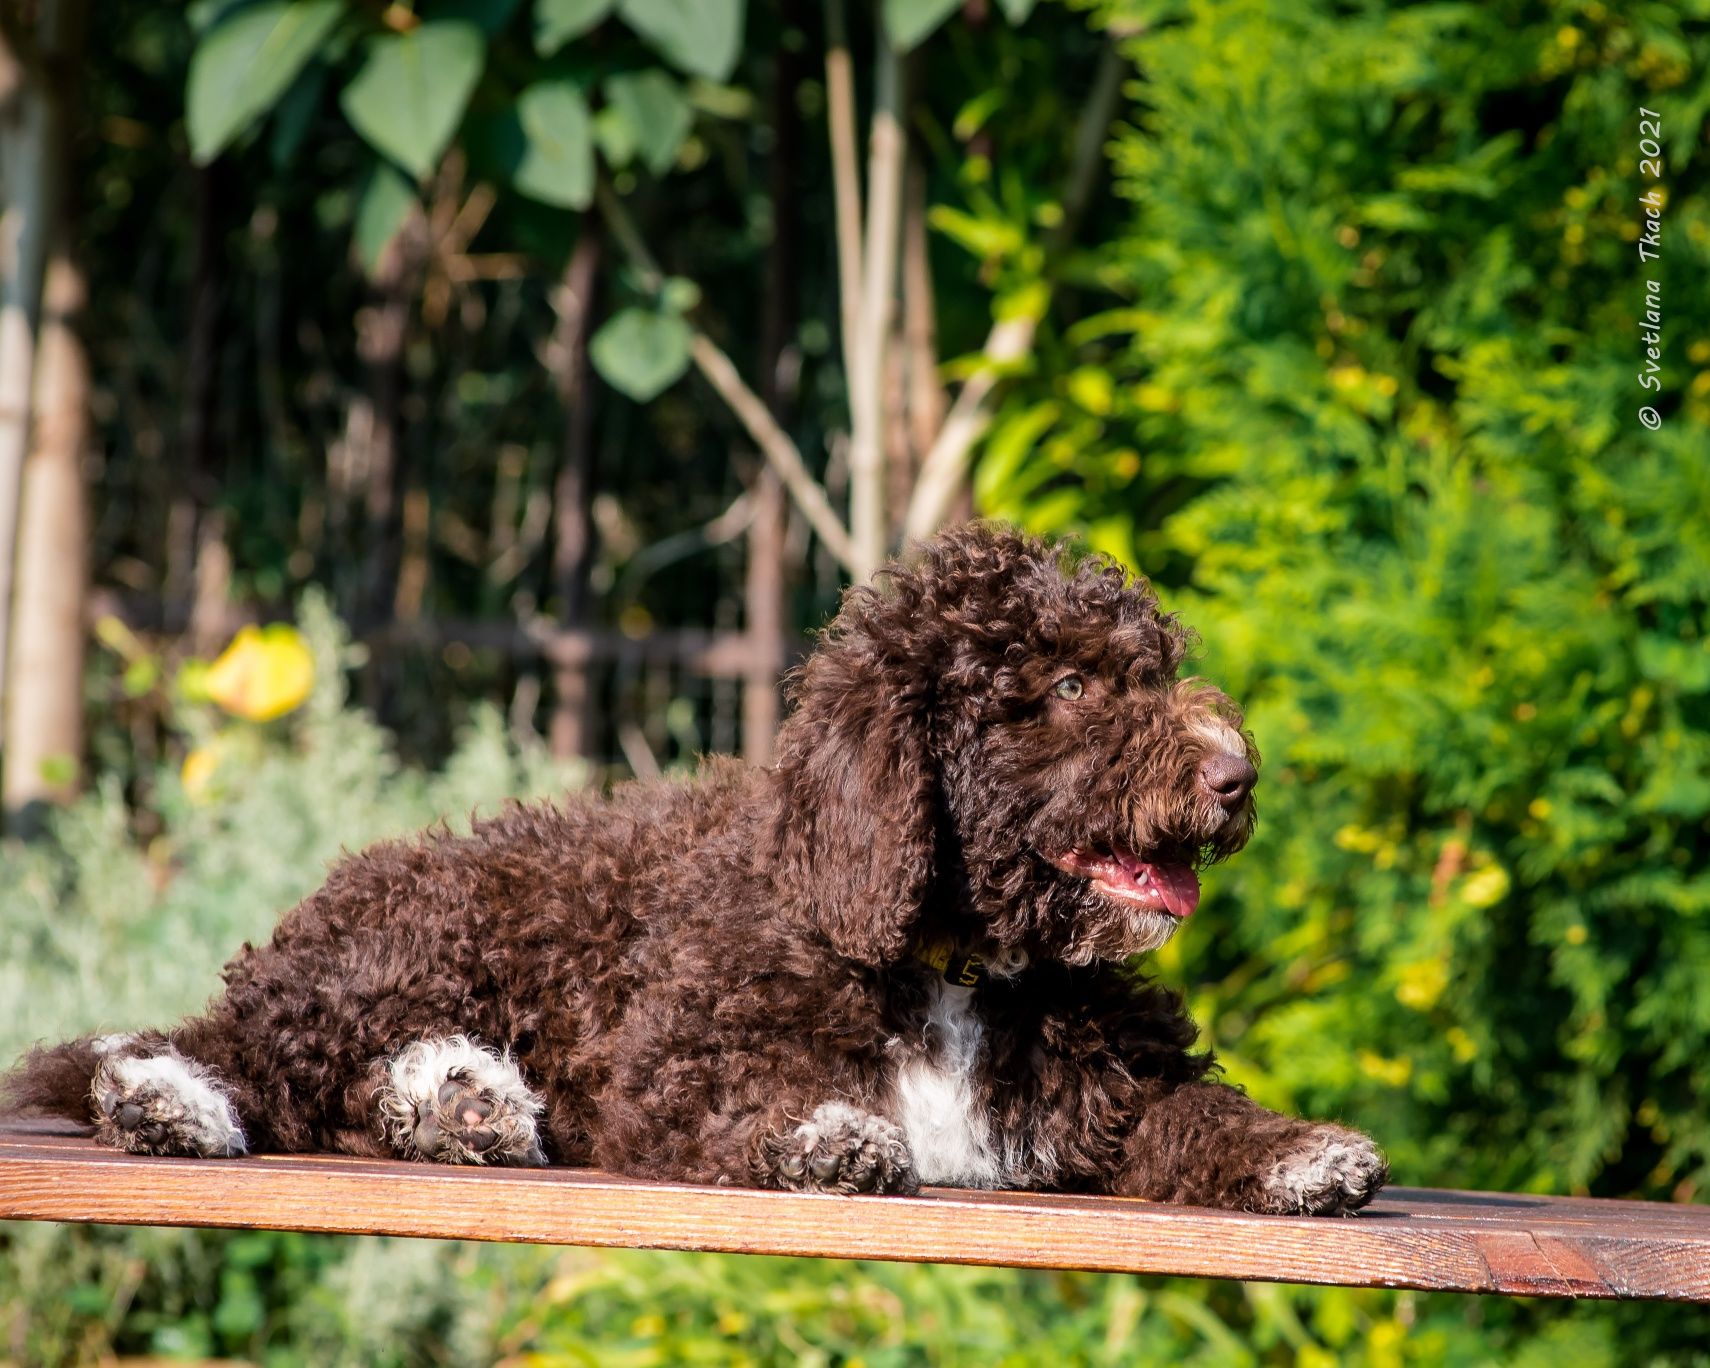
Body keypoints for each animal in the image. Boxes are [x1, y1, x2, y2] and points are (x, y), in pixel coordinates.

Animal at [6, 523, 1381, 1210]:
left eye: (1149, 669)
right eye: (1069, 688)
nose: (1237, 774)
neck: (946, 959)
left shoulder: (1105, 1087)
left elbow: (1195, 1113)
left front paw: (1303, 1152)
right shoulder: (665, 1074)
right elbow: (738, 1111)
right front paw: (825, 1140)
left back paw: (465, 1106)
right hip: (407, 947)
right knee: (226, 1055)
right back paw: (174, 1104)